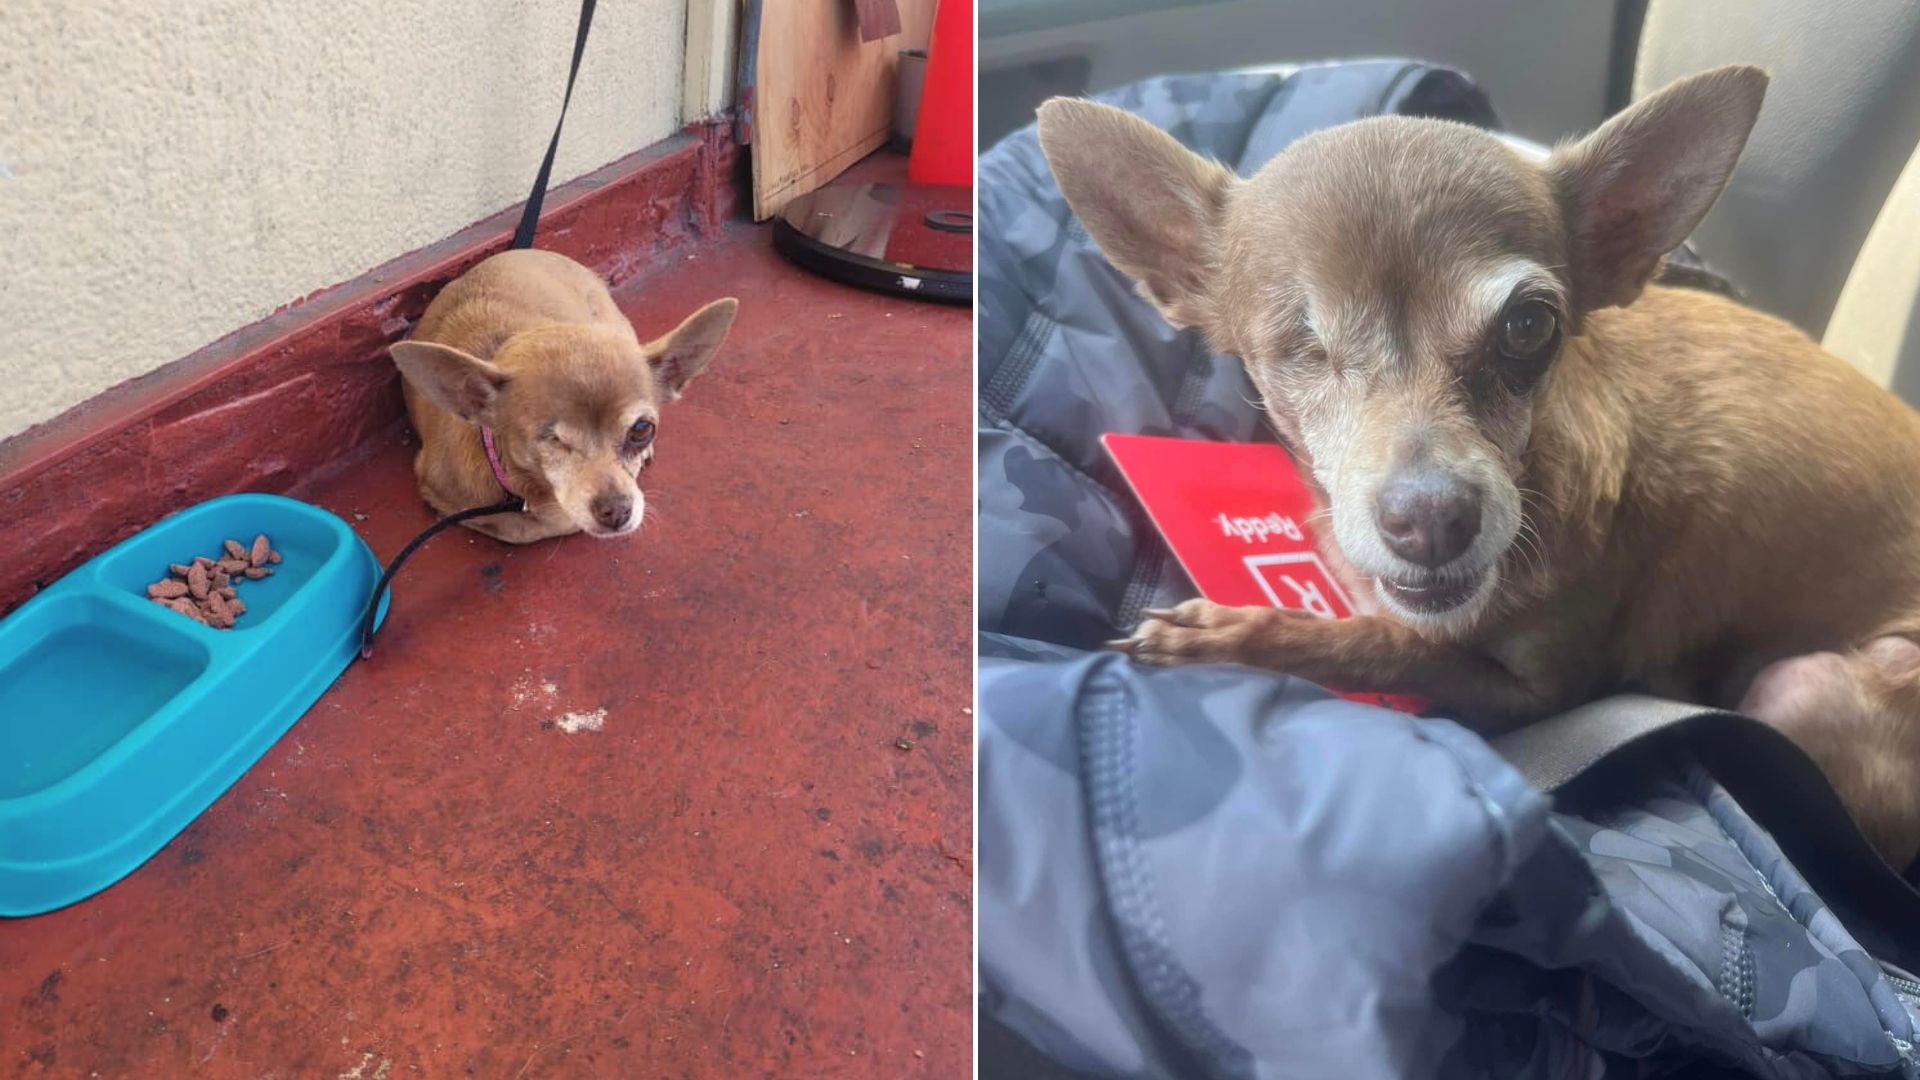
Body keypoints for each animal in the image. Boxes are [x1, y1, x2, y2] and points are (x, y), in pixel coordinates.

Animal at [1044, 67, 1920, 860]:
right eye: (1299, 346)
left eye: (1530, 325)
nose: (1431, 518)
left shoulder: (1539, 693)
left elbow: (1386, 645)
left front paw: (1236, 636)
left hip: (1801, 688)